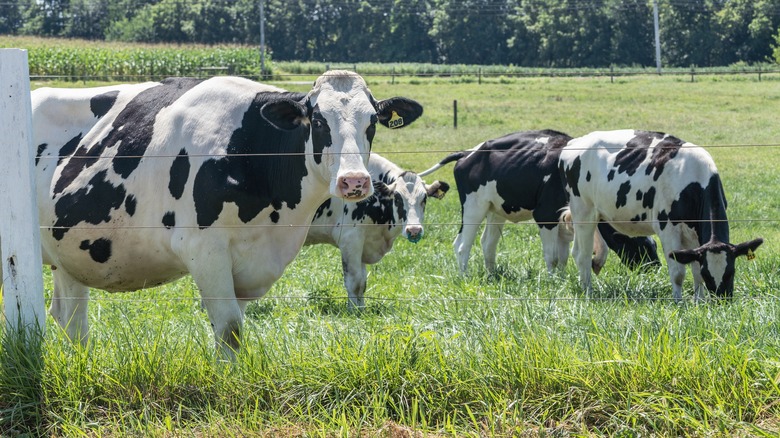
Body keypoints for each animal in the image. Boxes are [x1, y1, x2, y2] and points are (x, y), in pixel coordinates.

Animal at [21, 70, 420, 354]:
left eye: (372, 123)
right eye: (319, 121)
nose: (354, 181)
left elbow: (235, 328)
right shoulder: (204, 250)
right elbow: (229, 329)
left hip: (70, 252)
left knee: (71, 320)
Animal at [306, 154, 450, 308]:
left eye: (424, 198)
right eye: (397, 198)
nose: (414, 230)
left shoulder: (364, 241)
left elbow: (362, 283)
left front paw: (361, 309)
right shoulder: (350, 240)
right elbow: (354, 282)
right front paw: (353, 310)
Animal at [420, 128, 660, 276]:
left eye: (653, 244)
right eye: (640, 246)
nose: (655, 269)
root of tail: (468, 152)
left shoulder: (566, 220)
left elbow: (563, 257)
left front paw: (563, 279)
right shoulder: (545, 215)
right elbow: (552, 256)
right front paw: (552, 280)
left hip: (495, 210)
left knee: (487, 243)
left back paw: (492, 274)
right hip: (473, 207)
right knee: (462, 245)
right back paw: (465, 276)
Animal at [560, 130, 760, 302]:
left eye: (731, 272)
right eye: (708, 274)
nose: (722, 301)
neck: (694, 180)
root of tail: (576, 141)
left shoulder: (694, 233)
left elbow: (694, 267)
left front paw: (699, 302)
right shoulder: (668, 228)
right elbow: (678, 273)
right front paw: (679, 303)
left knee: (578, 251)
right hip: (583, 211)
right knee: (583, 255)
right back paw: (588, 293)